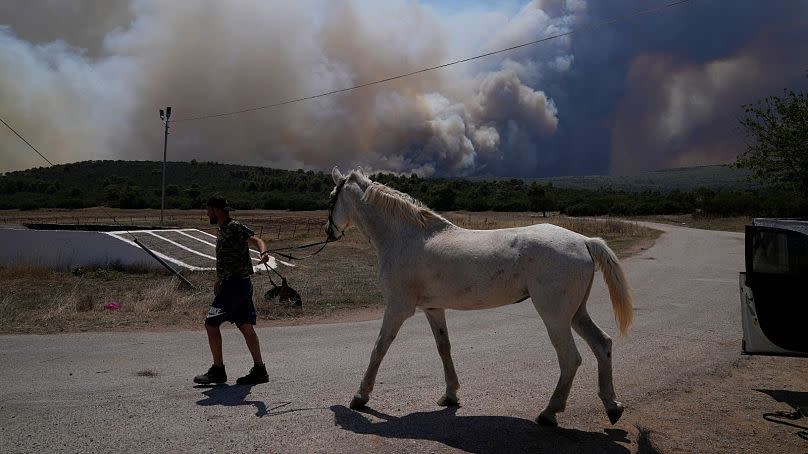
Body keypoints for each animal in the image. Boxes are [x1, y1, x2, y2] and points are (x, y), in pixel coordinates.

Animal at [326, 167, 636, 426]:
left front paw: (360, 396)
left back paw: (549, 413)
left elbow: (379, 348)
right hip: (576, 313)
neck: (407, 238)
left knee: (570, 359)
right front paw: (450, 395)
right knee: (602, 345)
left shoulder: (397, 308)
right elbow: (444, 348)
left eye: (331, 198)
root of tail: (584, 240)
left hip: (555, 317)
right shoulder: (433, 309)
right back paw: (612, 407)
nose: (329, 231)